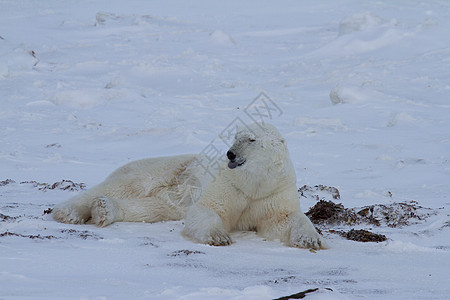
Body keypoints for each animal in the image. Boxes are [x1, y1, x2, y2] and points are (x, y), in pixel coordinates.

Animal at [52, 123, 326, 250]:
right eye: (235, 136)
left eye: (251, 139)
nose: (230, 154)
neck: (253, 182)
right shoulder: (228, 184)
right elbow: (208, 208)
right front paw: (219, 237)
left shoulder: (273, 191)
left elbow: (283, 219)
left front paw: (310, 239)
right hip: (165, 169)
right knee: (123, 186)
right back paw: (69, 212)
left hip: (171, 196)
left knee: (151, 207)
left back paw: (104, 210)